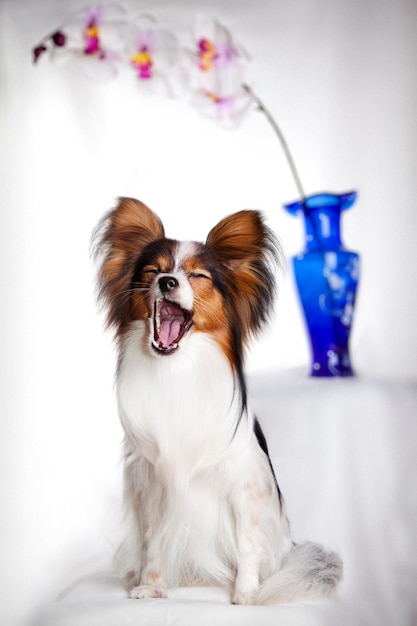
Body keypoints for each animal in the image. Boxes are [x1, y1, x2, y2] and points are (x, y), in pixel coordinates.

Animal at [93, 197, 342, 604]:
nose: (167, 282)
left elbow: (246, 543)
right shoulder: (154, 489)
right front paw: (152, 586)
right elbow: (154, 544)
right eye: (153, 271)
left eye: (197, 276)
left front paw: (246, 594)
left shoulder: (245, 488)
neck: (177, 368)